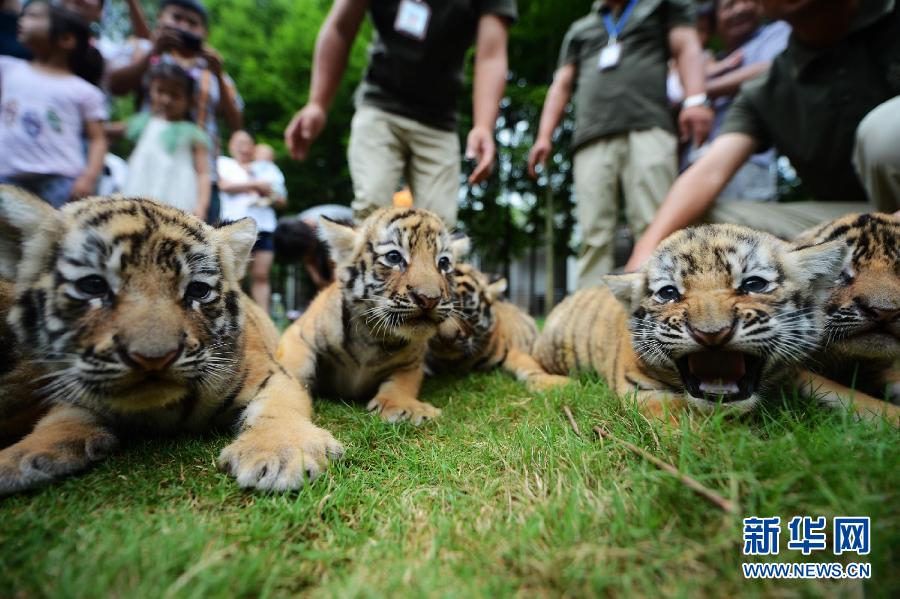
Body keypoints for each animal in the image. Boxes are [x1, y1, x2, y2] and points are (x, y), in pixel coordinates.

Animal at [0, 186, 343, 495]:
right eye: (93, 286)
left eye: (198, 290)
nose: (154, 358)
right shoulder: (74, 393)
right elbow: (56, 424)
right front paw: (15, 459)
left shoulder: (272, 375)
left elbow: (278, 410)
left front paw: (281, 454)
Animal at [276, 207, 458, 425]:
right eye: (394, 257)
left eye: (444, 262)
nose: (429, 299)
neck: (372, 335)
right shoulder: (298, 335)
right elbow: (292, 366)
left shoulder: (412, 361)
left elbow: (403, 382)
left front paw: (405, 408)